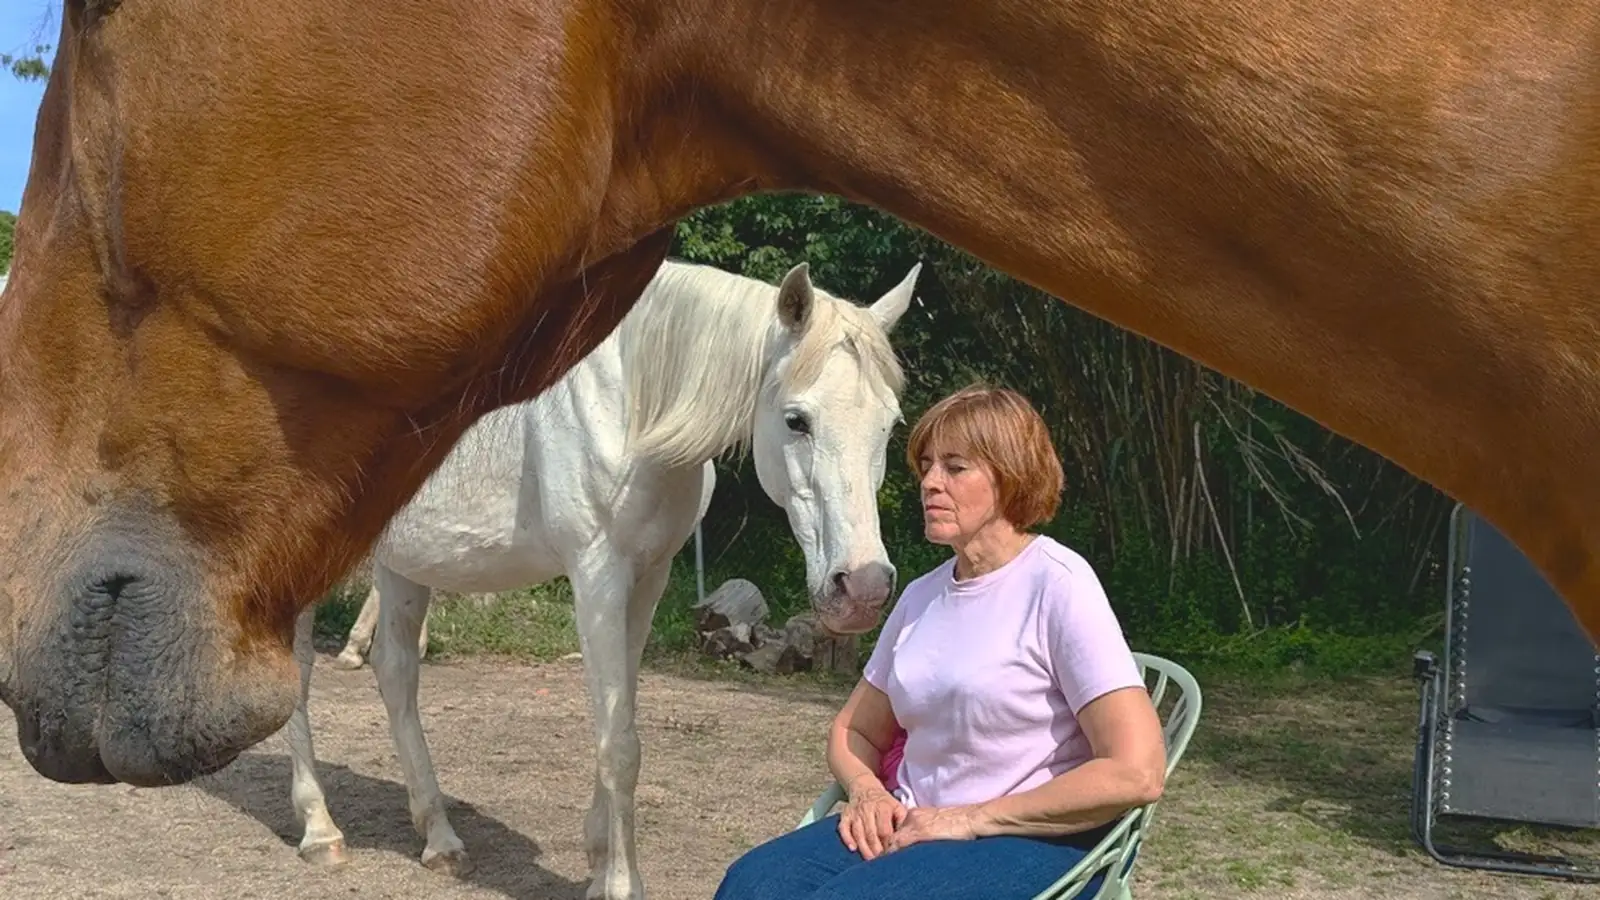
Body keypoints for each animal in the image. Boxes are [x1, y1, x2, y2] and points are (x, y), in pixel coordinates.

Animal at [278, 256, 917, 895]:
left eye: (890, 425)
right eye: (796, 420)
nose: (863, 588)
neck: (630, 402)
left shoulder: (648, 579)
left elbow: (619, 718)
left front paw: (597, 858)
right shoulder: (597, 576)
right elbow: (620, 746)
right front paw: (621, 883)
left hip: (403, 562)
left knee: (396, 672)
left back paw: (440, 839)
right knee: (300, 673)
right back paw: (320, 831)